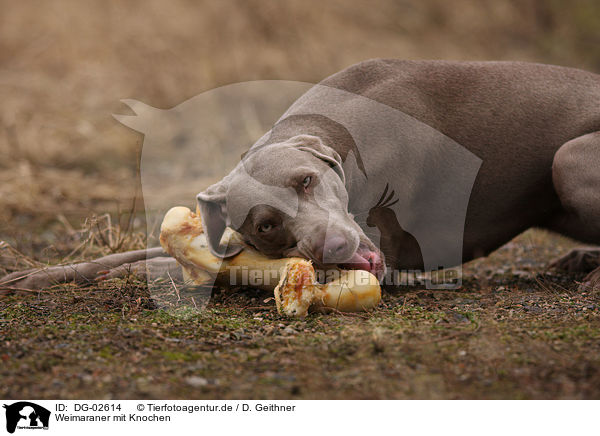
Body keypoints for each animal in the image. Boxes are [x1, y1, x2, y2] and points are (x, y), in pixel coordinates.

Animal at [1, 58, 600, 290]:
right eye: (266, 224)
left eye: (306, 182)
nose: (334, 246)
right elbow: (132, 256)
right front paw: (36, 276)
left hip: (568, 159)